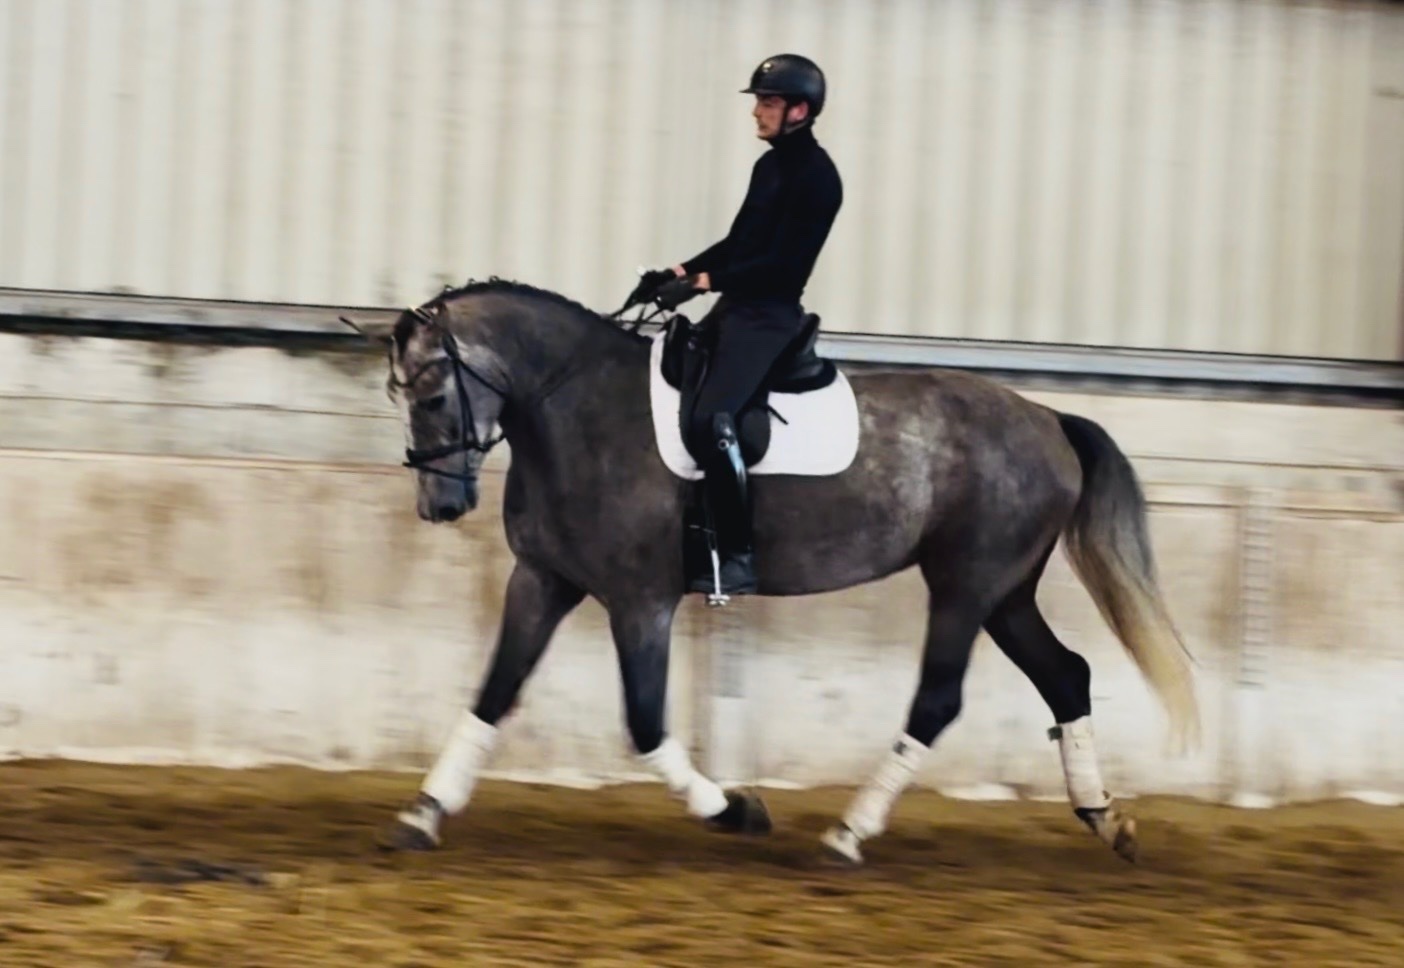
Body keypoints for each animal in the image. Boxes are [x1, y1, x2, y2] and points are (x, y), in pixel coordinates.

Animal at [340, 277, 1200, 867]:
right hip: (1005, 591)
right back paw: (1107, 818)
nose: (440, 505)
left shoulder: (640, 600)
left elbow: (645, 723)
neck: (576, 409)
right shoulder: (543, 581)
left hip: (966, 584)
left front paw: (735, 810)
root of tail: (1048, 418)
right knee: (1067, 674)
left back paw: (849, 833)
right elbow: (493, 693)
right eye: (400, 395)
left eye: (431, 394)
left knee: (939, 699)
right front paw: (423, 811)